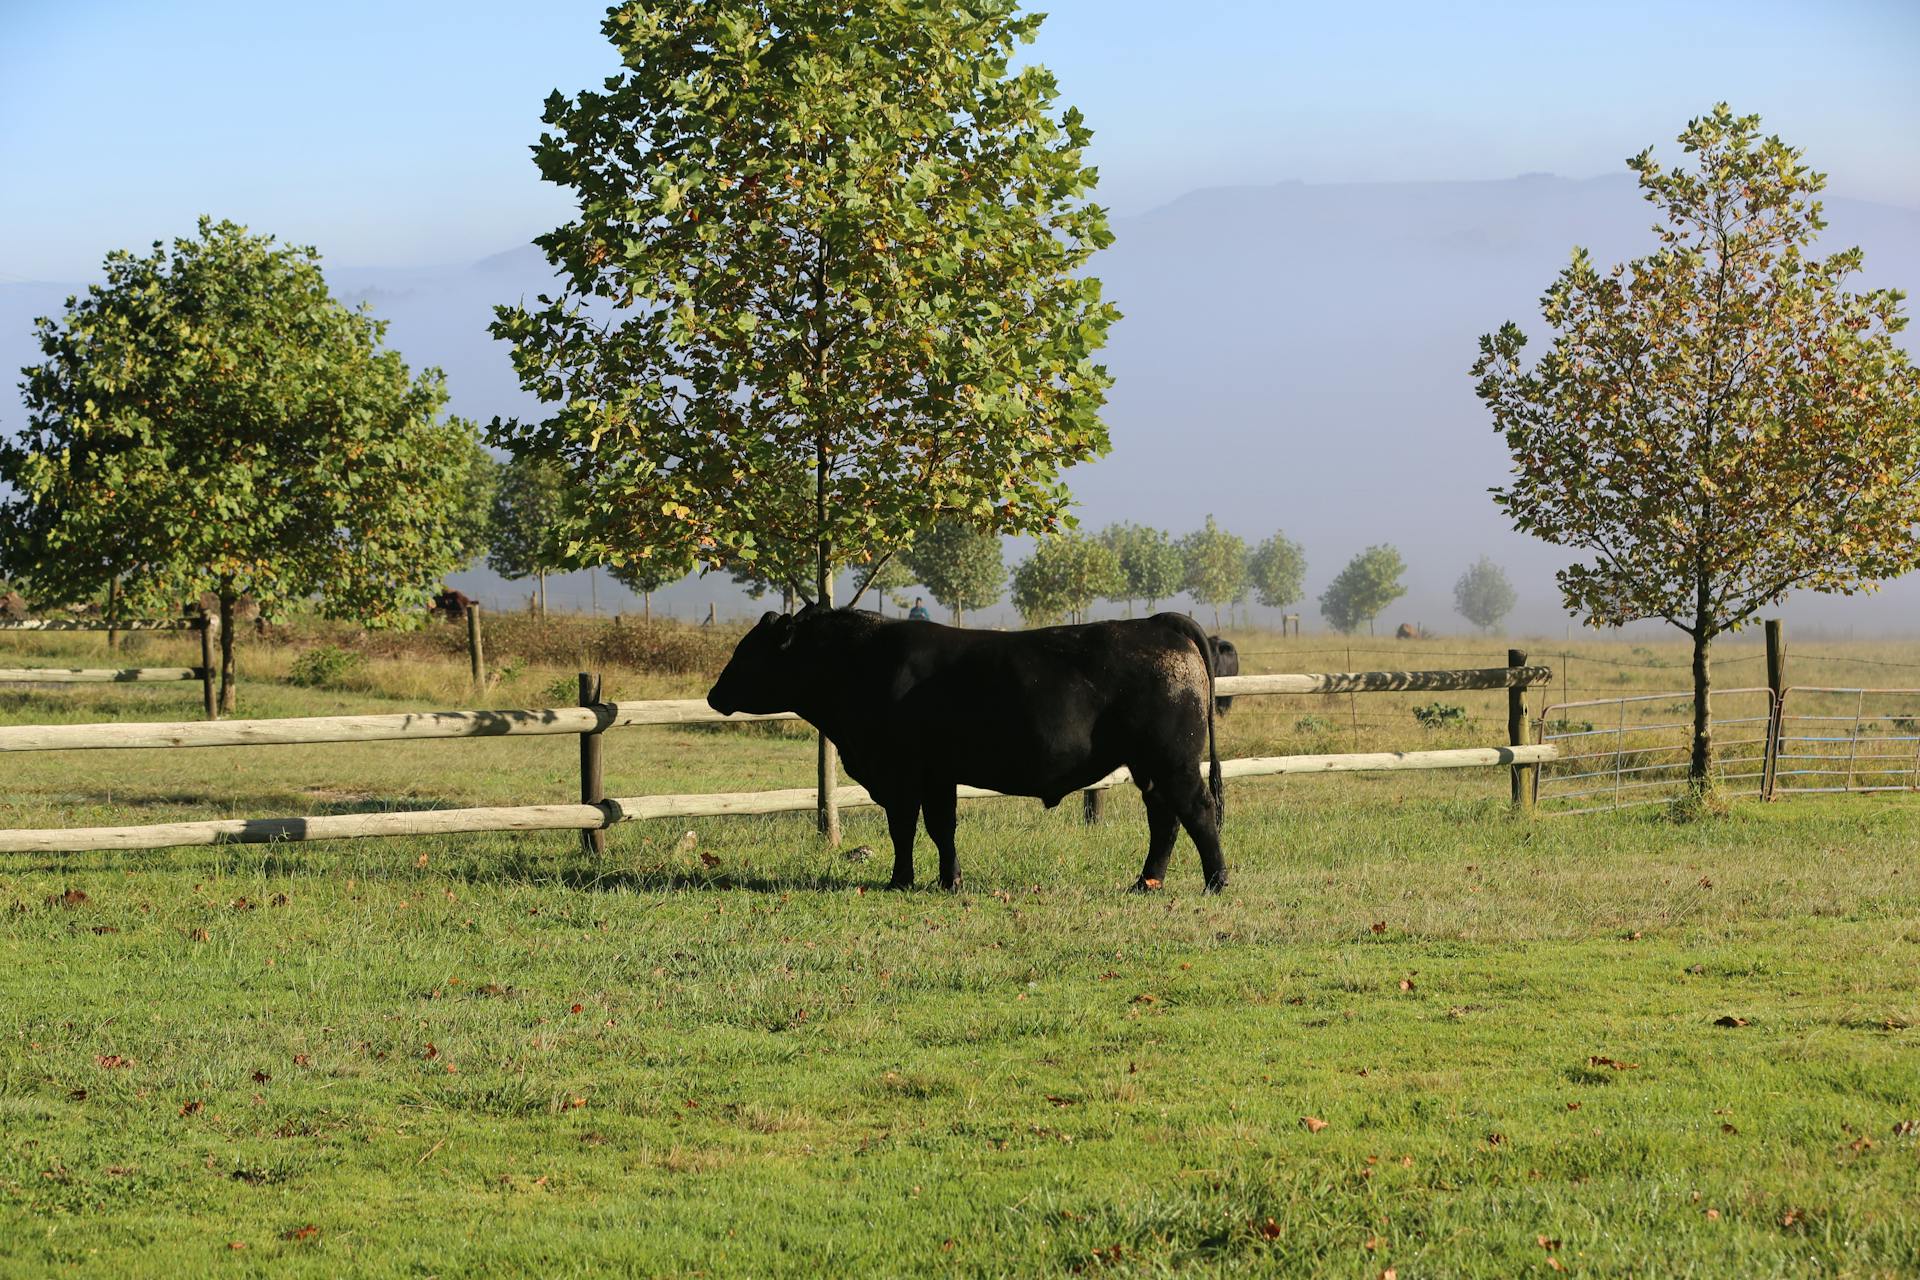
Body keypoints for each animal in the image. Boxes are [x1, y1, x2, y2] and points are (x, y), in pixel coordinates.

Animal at [706, 610, 1228, 890]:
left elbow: (904, 828)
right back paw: (1146, 883)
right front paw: (948, 880)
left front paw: (901, 880)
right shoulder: (938, 773)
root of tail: (1158, 623)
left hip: (1173, 761)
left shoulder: (901, 772)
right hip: (1150, 766)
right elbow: (941, 828)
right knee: (1164, 818)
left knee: (1197, 812)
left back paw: (1215, 881)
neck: (861, 663)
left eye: (747, 651)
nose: (714, 694)